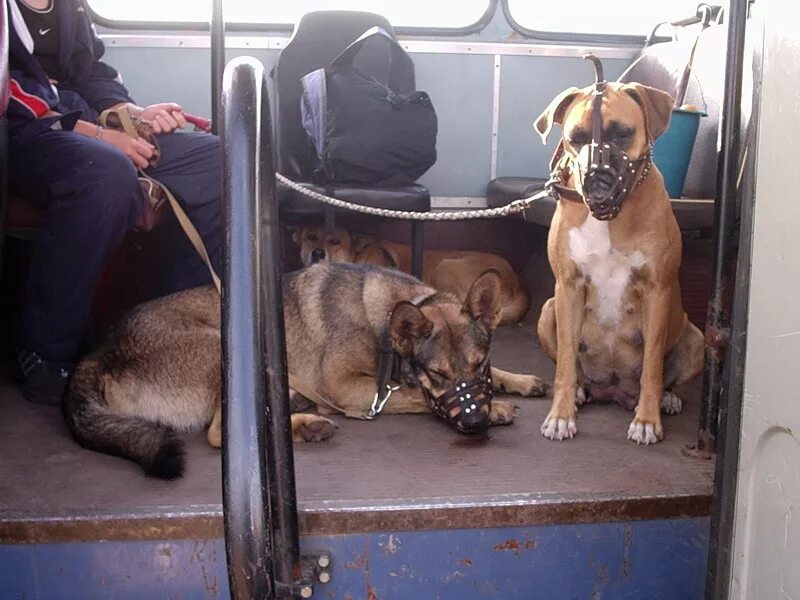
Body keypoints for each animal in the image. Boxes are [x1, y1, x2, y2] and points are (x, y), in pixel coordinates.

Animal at [64, 264, 552, 480]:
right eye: (437, 374)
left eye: (478, 364)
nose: (475, 422)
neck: (382, 327)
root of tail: (100, 350)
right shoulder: (350, 390)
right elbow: (410, 396)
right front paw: (498, 408)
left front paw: (517, 382)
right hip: (221, 345)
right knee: (220, 434)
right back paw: (307, 424)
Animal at [290, 225, 528, 328]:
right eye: (311, 237)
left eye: (335, 241)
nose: (318, 253)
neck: (358, 257)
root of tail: (519, 283)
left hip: (445, 266)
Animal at [536, 78, 704, 446]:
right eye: (576, 138)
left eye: (621, 133)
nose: (596, 172)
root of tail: (612, 391)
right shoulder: (568, 287)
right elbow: (565, 365)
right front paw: (561, 415)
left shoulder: (656, 291)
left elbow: (653, 367)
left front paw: (647, 420)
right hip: (547, 309)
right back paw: (581, 392)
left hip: (695, 337)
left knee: (664, 378)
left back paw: (667, 399)